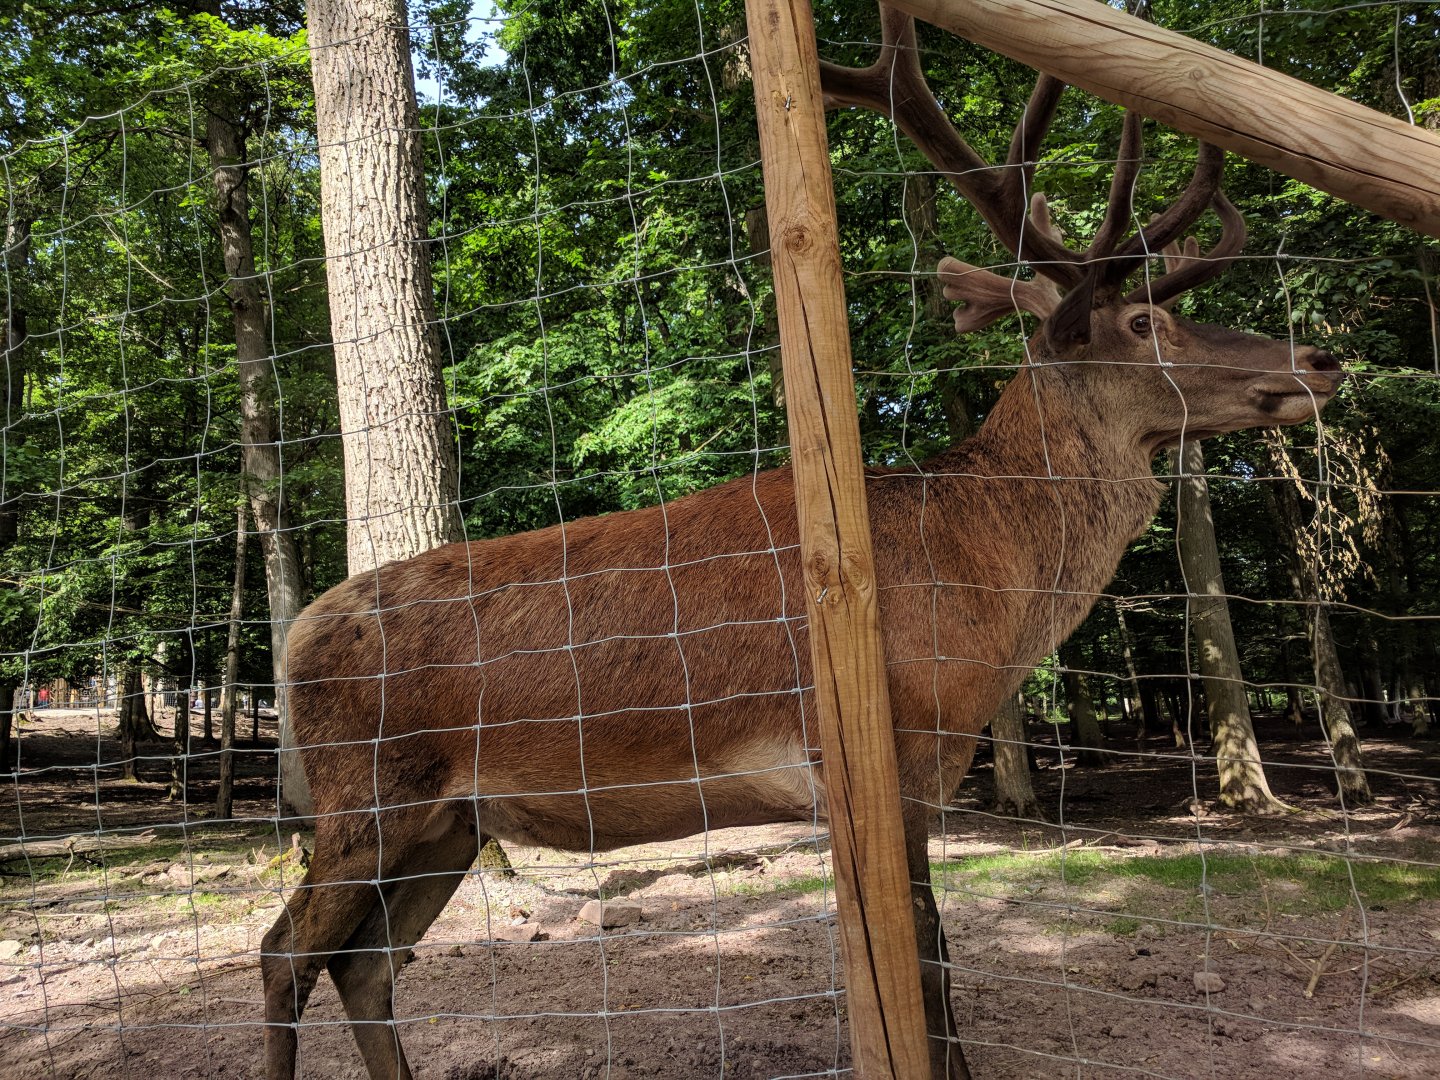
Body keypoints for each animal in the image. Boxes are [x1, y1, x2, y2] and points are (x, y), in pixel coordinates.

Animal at [261, 10, 1344, 1080]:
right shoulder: (887, 751)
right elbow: (927, 964)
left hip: (446, 822)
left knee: (365, 965)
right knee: (284, 955)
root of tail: (291, 641)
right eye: (1146, 320)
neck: (985, 602)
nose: (1321, 358)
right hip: (367, 795)